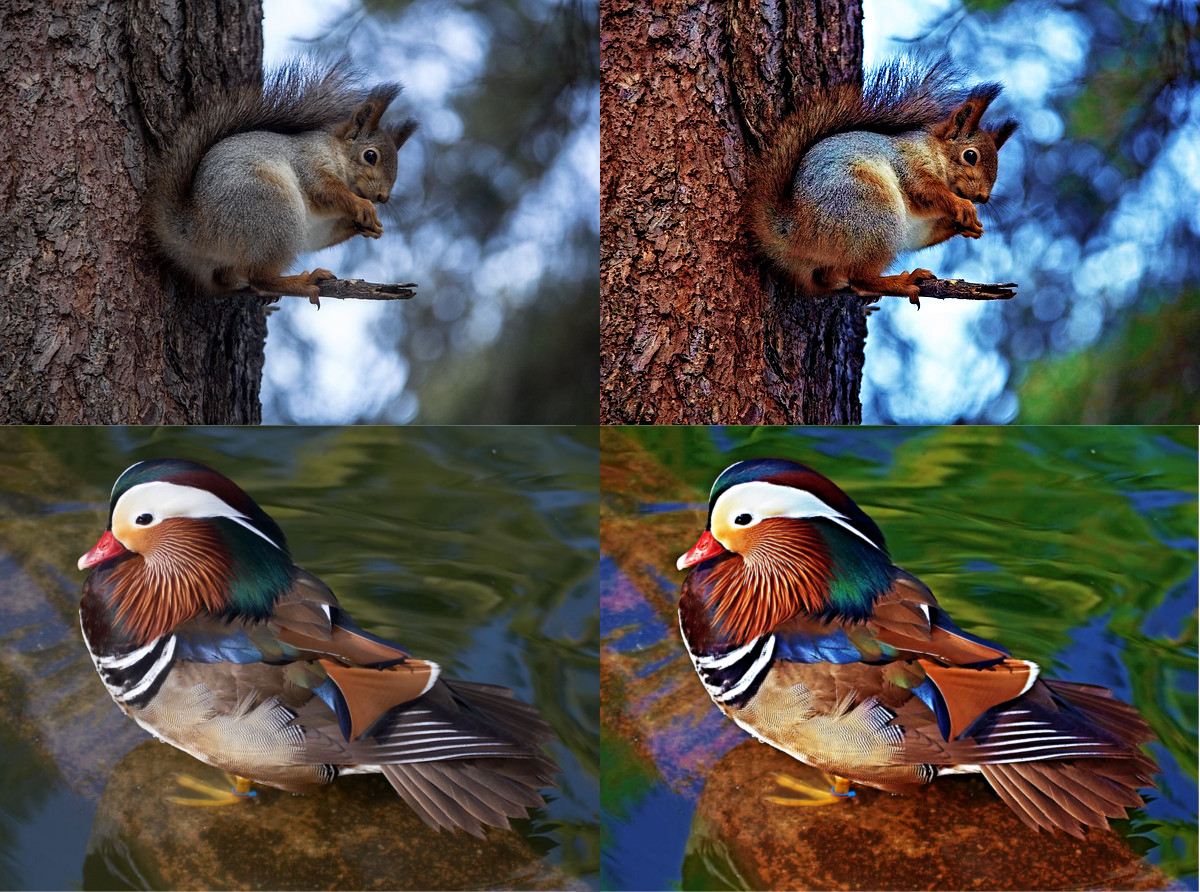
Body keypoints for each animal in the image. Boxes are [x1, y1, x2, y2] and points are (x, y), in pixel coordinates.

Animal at [145, 61, 417, 305]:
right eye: (370, 156)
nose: (382, 197)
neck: (334, 152)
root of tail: (192, 228)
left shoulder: (320, 227)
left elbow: (324, 236)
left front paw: (370, 227)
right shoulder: (309, 162)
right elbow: (325, 189)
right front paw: (362, 206)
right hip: (272, 208)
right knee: (260, 278)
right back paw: (302, 282)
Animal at [745, 59, 1017, 304]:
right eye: (970, 156)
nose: (982, 197)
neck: (935, 152)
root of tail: (791, 228)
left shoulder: (921, 227)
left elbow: (925, 235)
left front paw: (969, 226)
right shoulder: (909, 163)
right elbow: (926, 190)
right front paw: (962, 207)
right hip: (872, 209)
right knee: (860, 279)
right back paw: (902, 282)